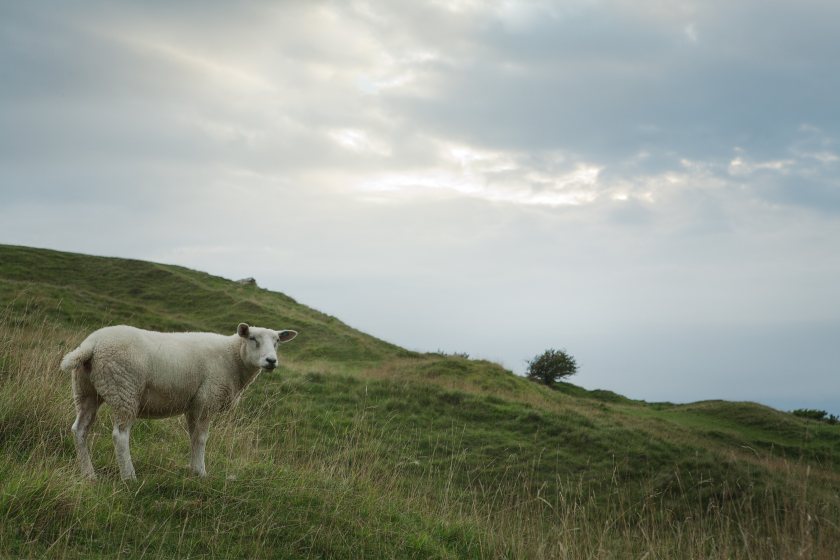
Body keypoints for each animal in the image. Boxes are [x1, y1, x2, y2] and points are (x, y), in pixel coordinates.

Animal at [59, 324, 296, 482]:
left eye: (277, 342)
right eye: (253, 338)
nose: (271, 361)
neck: (233, 357)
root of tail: (92, 344)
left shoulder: (195, 404)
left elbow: (193, 437)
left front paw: (192, 469)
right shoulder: (207, 400)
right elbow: (201, 439)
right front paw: (201, 472)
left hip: (86, 391)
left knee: (79, 430)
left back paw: (89, 474)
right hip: (124, 389)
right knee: (120, 435)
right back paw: (129, 477)